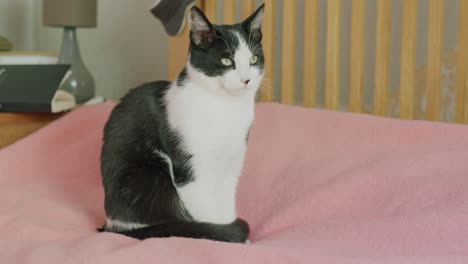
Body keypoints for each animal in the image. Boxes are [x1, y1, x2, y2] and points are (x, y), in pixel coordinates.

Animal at [99, 4, 266, 243]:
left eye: (253, 59)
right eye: (226, 61)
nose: (246, 80)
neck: (224, 107)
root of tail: (114, 225)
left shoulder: (231, 167)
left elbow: (225, 207)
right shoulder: (190, 173)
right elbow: (207, 213)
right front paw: (223, 237)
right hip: (150, 176)